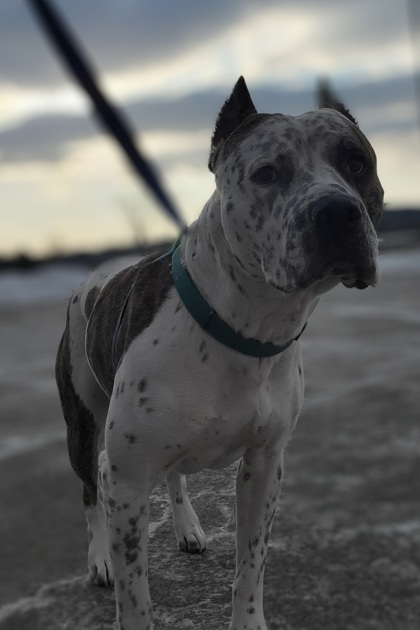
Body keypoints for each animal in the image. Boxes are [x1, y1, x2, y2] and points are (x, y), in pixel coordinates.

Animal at [56, 76, 383, 630]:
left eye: (356, 162)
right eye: (266, 172)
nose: (337, 211)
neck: (246, 327)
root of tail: (94, 276)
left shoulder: (264, 466)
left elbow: (251, 564)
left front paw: (247, 619)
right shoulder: (128, 479)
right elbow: (135, 596)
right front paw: (119, 575)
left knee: (175, 476)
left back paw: (187, 526)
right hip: (84, 424)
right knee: (88, 486)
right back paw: (99, 558)